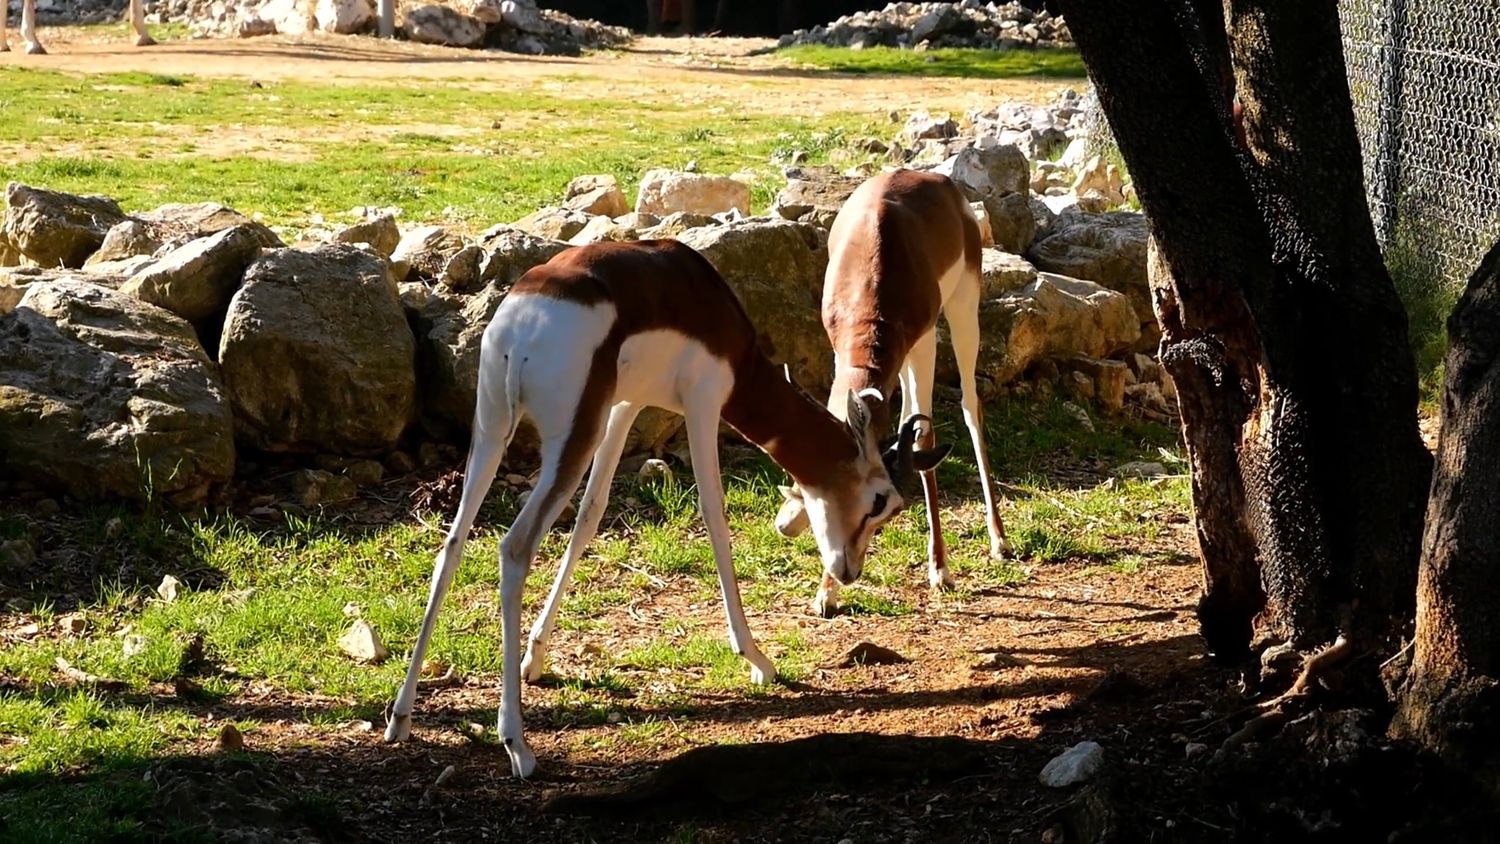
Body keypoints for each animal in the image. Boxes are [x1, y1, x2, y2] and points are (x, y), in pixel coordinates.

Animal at [383, 239, 946, 778]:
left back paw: (400, 717)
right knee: (515, 547)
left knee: (453, 543)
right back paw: (517, 745)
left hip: (493, 429)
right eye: (882, 502)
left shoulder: (625, 405)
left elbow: (590, 515)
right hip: (567, 440)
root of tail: (524, 322)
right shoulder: (703, 403)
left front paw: (535, 659)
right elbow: (714, 516)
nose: (849, 572)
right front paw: (757, 660)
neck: (709, 307)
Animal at [775, 169, 1011, 618]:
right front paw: (824, 593)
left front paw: (940, 569)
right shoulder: (841, 348)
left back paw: (999, 540)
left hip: (962, 308)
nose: (847, 571)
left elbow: (925, 434)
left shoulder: (923, 341)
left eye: (884, 507)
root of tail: (937, 180)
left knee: (970, 405)